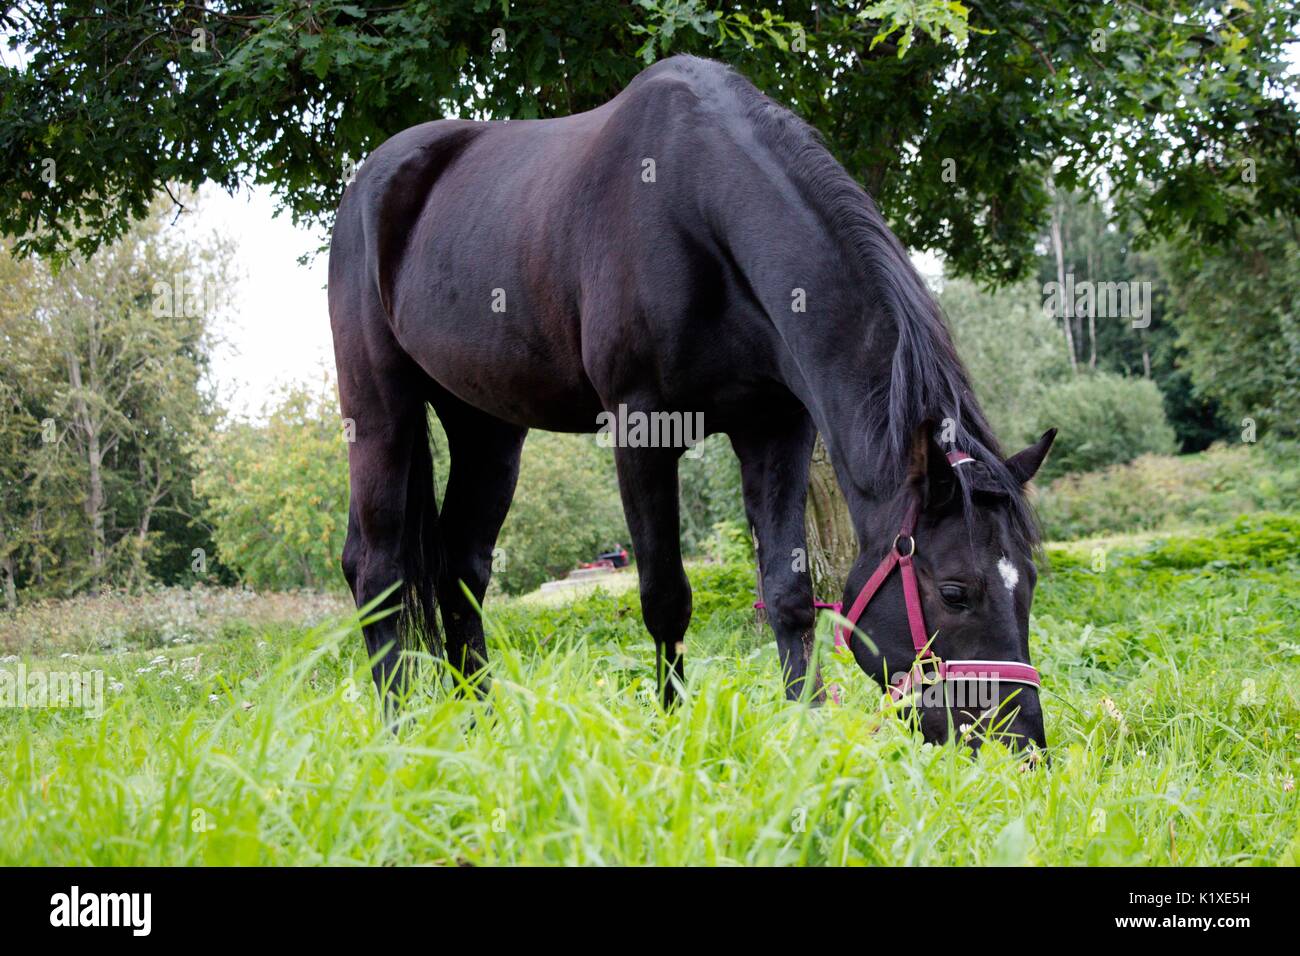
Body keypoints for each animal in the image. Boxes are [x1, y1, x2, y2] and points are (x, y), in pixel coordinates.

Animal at [327, 55, 1055, 749]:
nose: (1019, 744)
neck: (700, 208)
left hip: (487, 426)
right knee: (379, 569)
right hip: (379, 410)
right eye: (956, 591)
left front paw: (807, 734)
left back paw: (479, 726)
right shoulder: (642, 429)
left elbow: (788, 595)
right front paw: (673, 732)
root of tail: (369, 182)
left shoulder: (776, 429)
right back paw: (399, 730)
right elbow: (666, 599)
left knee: (461, 568)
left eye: (1028, 580)